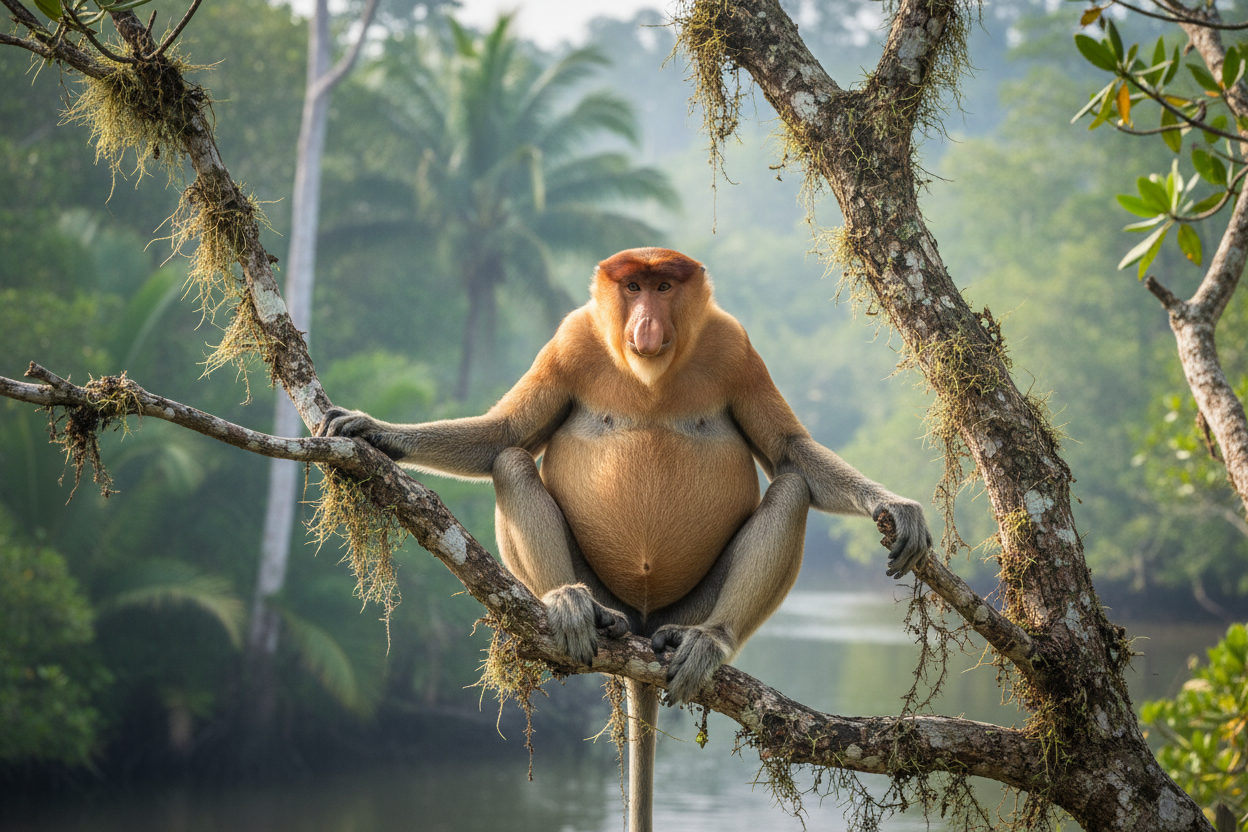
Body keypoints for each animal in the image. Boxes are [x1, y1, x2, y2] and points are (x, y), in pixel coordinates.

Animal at [317, 247, 931, 832]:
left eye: (663, 285)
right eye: (632, 286)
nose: (646, 323)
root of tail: (642, 624)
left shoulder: (735, 348)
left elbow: (790, 454)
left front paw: (895, 507)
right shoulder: (569, 341)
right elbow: (505, 433)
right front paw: (375, 431)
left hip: (691, 605)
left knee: (793, 490)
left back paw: (707, 641)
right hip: (603, 589)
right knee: (511, 461)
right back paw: (571, 604)